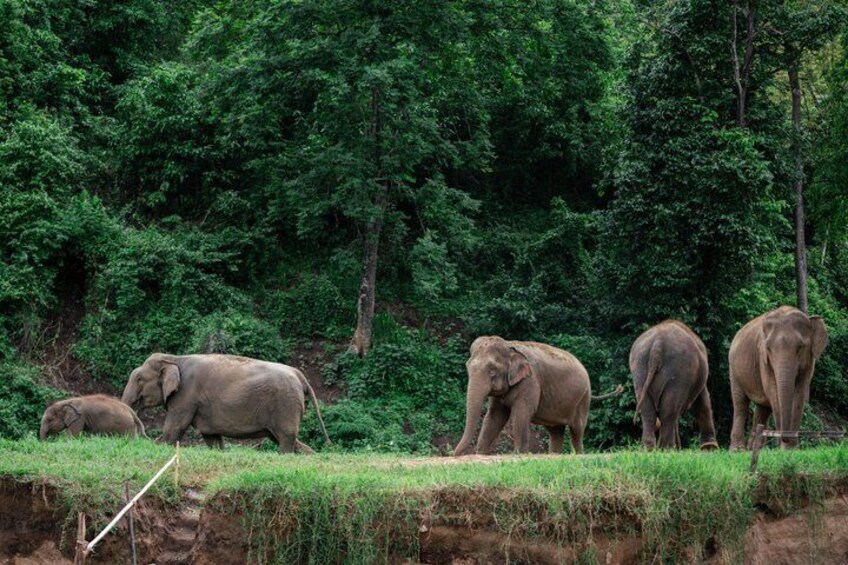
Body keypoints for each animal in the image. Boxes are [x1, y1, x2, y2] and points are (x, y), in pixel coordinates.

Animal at [121, 353, 330, 453]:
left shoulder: (187, 395)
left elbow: (173, 430)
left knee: (285, 438)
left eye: (139, 379)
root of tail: (299, 375)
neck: (174, 358)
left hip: (285, 403)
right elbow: (211, 437)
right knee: (287, 439)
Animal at [453, 336, 623, 456]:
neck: (510, 345)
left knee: (577, 429)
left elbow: (522, 412)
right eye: (467, 367)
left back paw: (578, 454)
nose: (454, 453)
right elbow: (495, 415)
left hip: (583, 398)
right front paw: (481, 452)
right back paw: (554, 455)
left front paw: (518, 453)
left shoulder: (531, 381)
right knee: (555, 430)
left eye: (492, 370)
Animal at [630, 320, 718, 450]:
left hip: (640, 369)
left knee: (649, 411)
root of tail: (657, 345)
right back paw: (667, 449)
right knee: (669, 411)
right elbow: (702, 399)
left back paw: (650, 449)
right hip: (679, 372)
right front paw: (710, 448)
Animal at [729, 306, 828, 450]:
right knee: (740, 404)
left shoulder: (810, 360)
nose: (784, 438)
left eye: (800, 348)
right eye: (769, 348)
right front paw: (785, 447)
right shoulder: (763, 358)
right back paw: (737, 450)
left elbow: (800, 393)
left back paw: (754, 448)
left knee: (762, 409)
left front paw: (791, 449)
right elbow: (772, 390)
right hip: (733, 369)